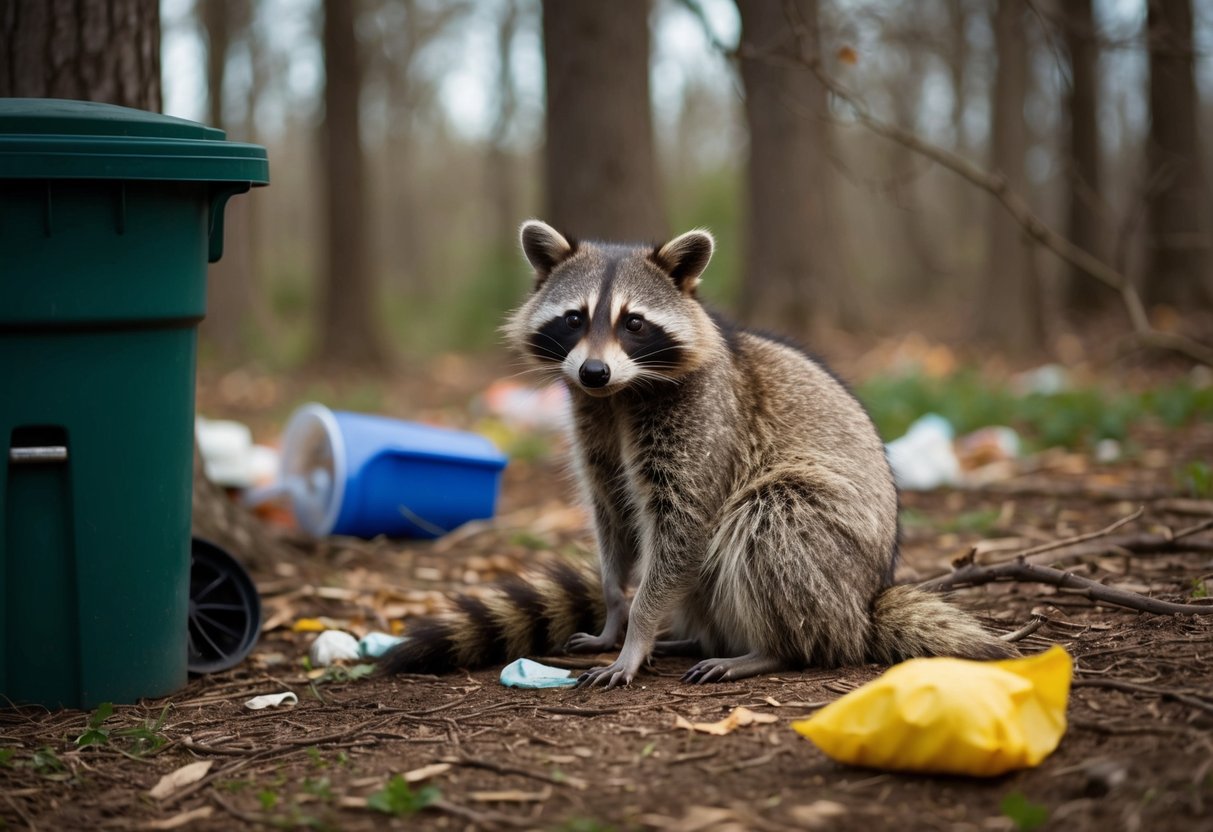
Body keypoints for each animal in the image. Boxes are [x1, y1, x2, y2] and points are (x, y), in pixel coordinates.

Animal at [380, 221, 1014, 686]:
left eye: (634, 323)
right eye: (574, 318)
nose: (592, 371)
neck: (619, 395)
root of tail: (866, 600)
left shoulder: (705, 424)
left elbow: (685, 528)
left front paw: (636, 631)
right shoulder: (595, 430)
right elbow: (614, 519)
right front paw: (615, 613)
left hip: (832, 547)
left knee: (772, 520)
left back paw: (773, 648)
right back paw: (694, 635)